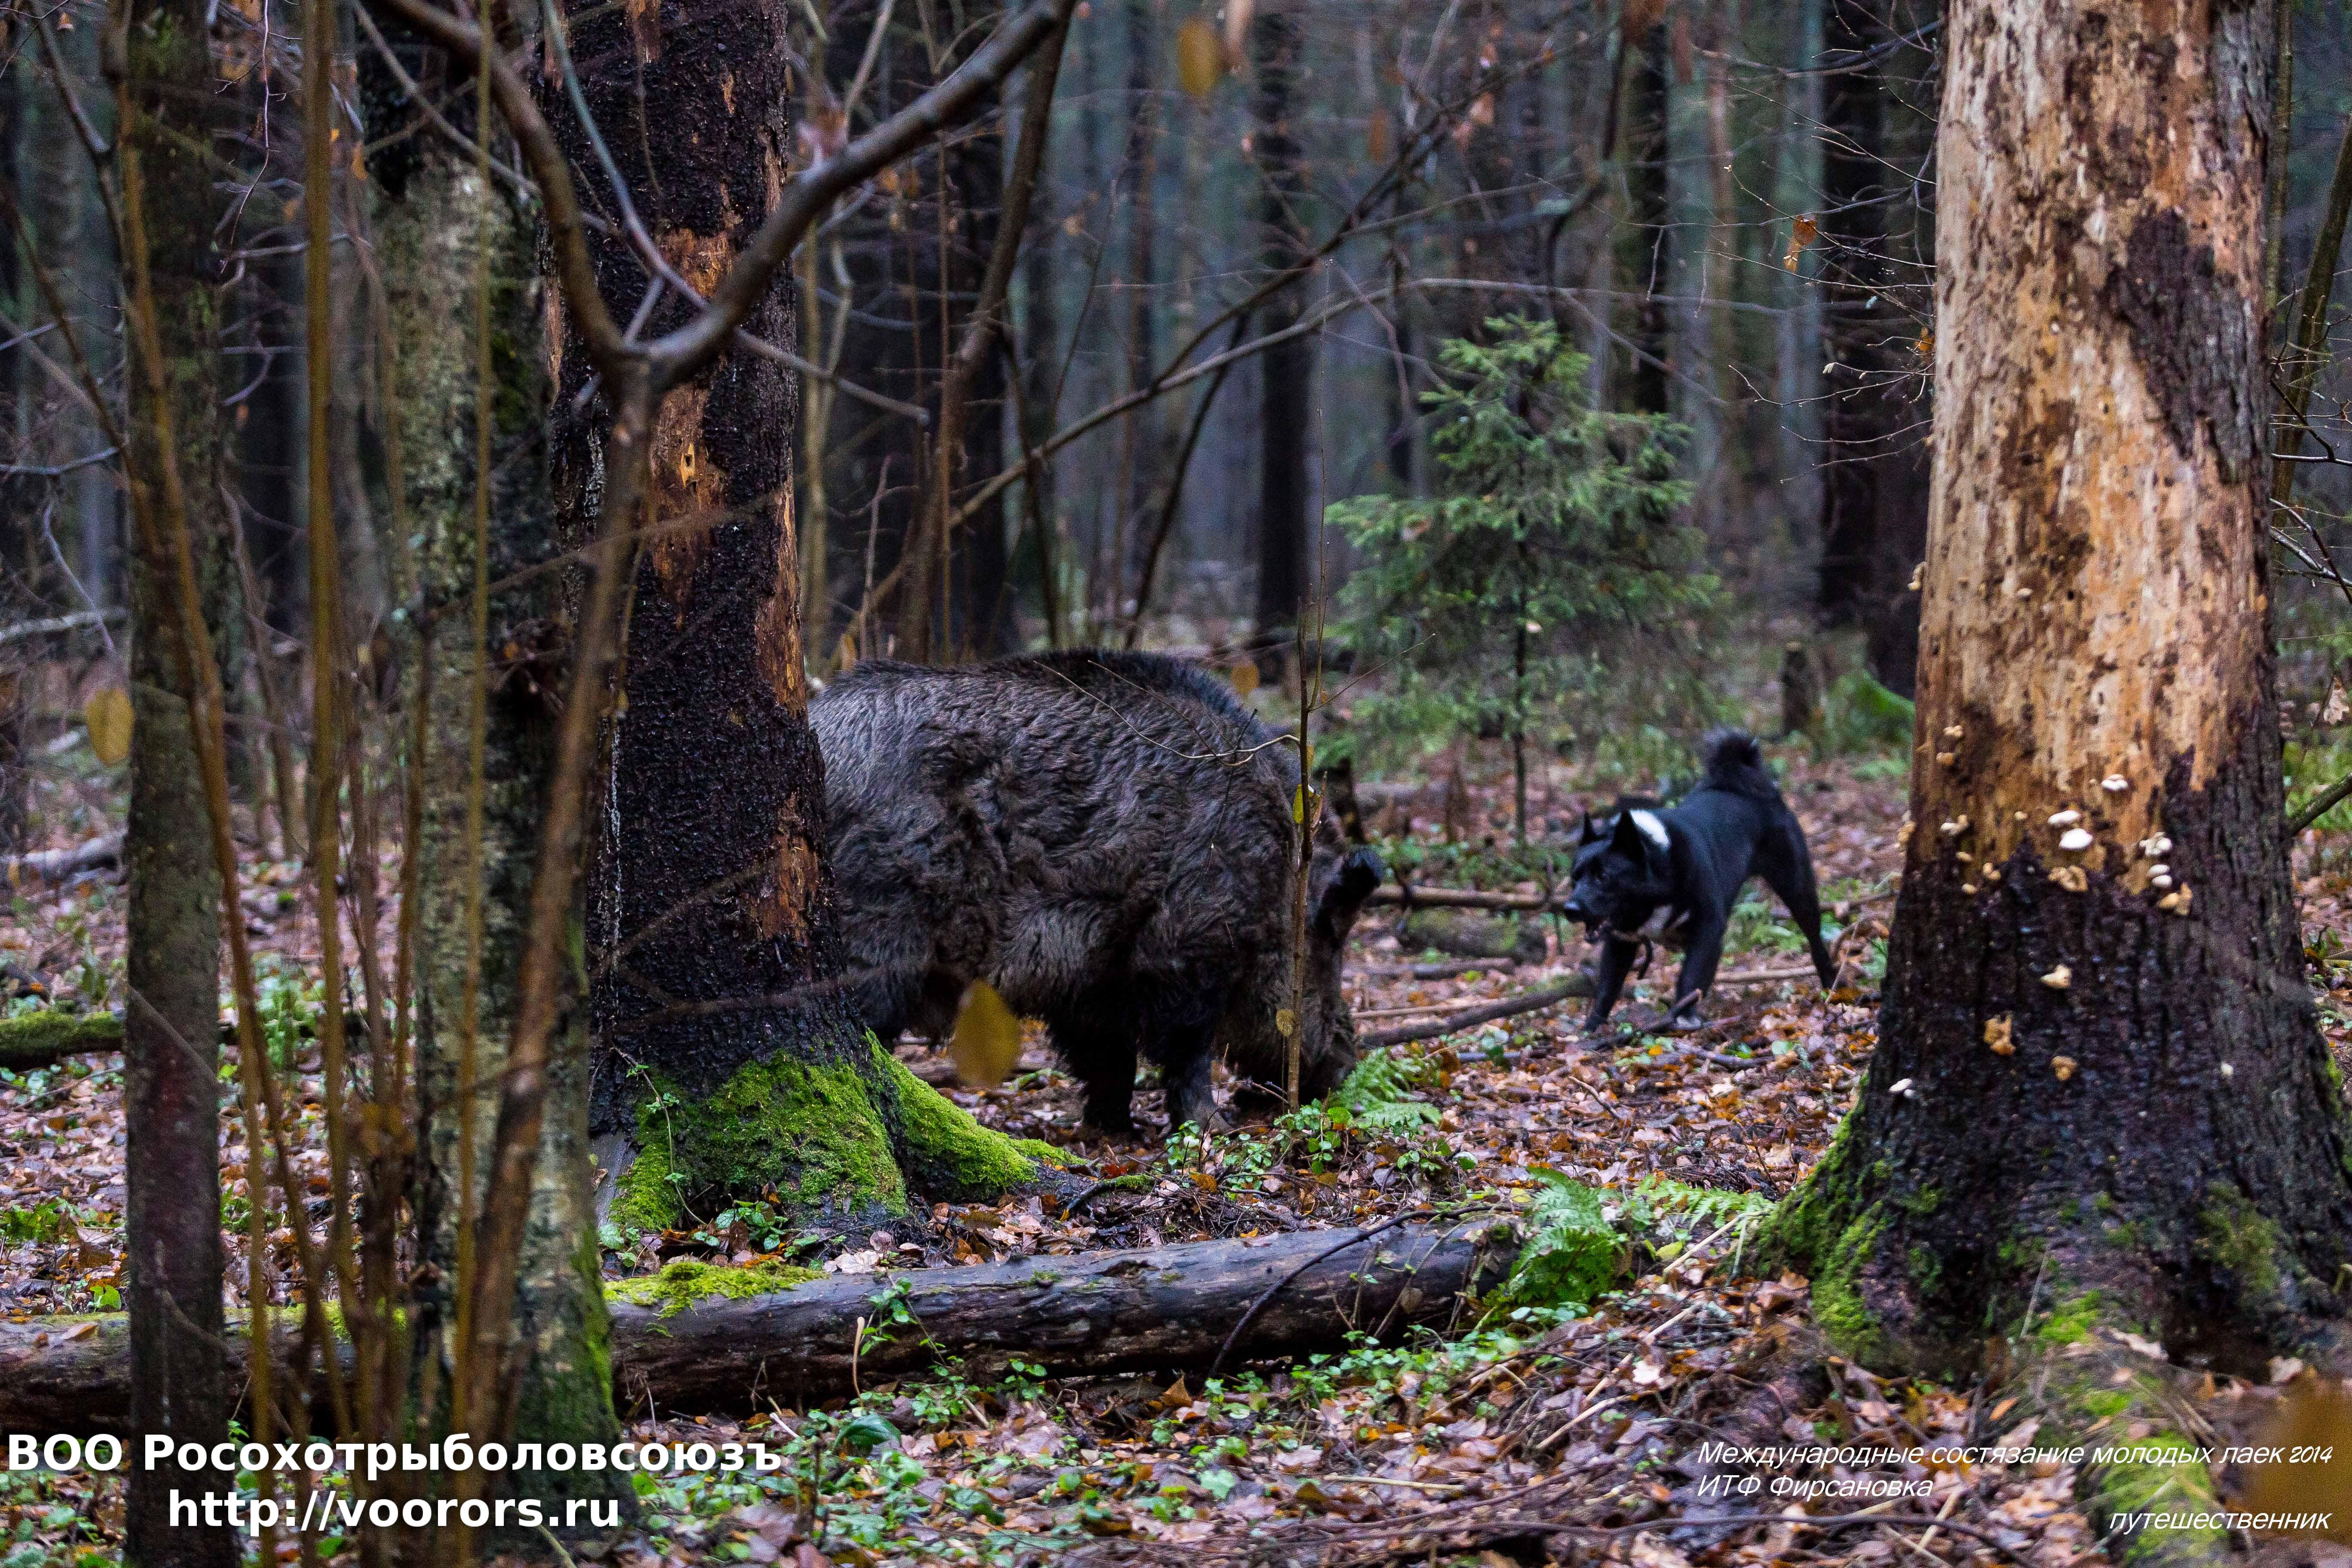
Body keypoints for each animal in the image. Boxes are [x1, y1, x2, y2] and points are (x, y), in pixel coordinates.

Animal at [810, 650, 1385, 1135]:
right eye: (1330, 943)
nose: (1345, 1067)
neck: (1275, 872)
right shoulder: (1187, 941)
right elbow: (1187, 1047)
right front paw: (1212, 1128)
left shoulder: (1090, 973)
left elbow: (1109, 1056)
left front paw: (1113, 1130)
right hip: (880, 922)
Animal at [1559, 731, 1838, 1031]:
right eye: (1574, 878)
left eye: (1604, 877)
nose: (1570, 909)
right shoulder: (1620, 945)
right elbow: (1606, 990)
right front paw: (1591, 1030)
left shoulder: (1708, 928)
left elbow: (1690, 977)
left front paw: (1683, 1019)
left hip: (1798, 892)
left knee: (1816, 942)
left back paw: (1831, 986)